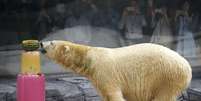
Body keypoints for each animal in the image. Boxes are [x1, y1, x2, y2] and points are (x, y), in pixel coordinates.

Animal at [40, 40, 192, 101]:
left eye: (52, 42)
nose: (41, 43)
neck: (90, 57)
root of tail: (187, 66)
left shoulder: (104, 72)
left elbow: (113, 94)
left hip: (166, 77)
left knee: (163, 96)